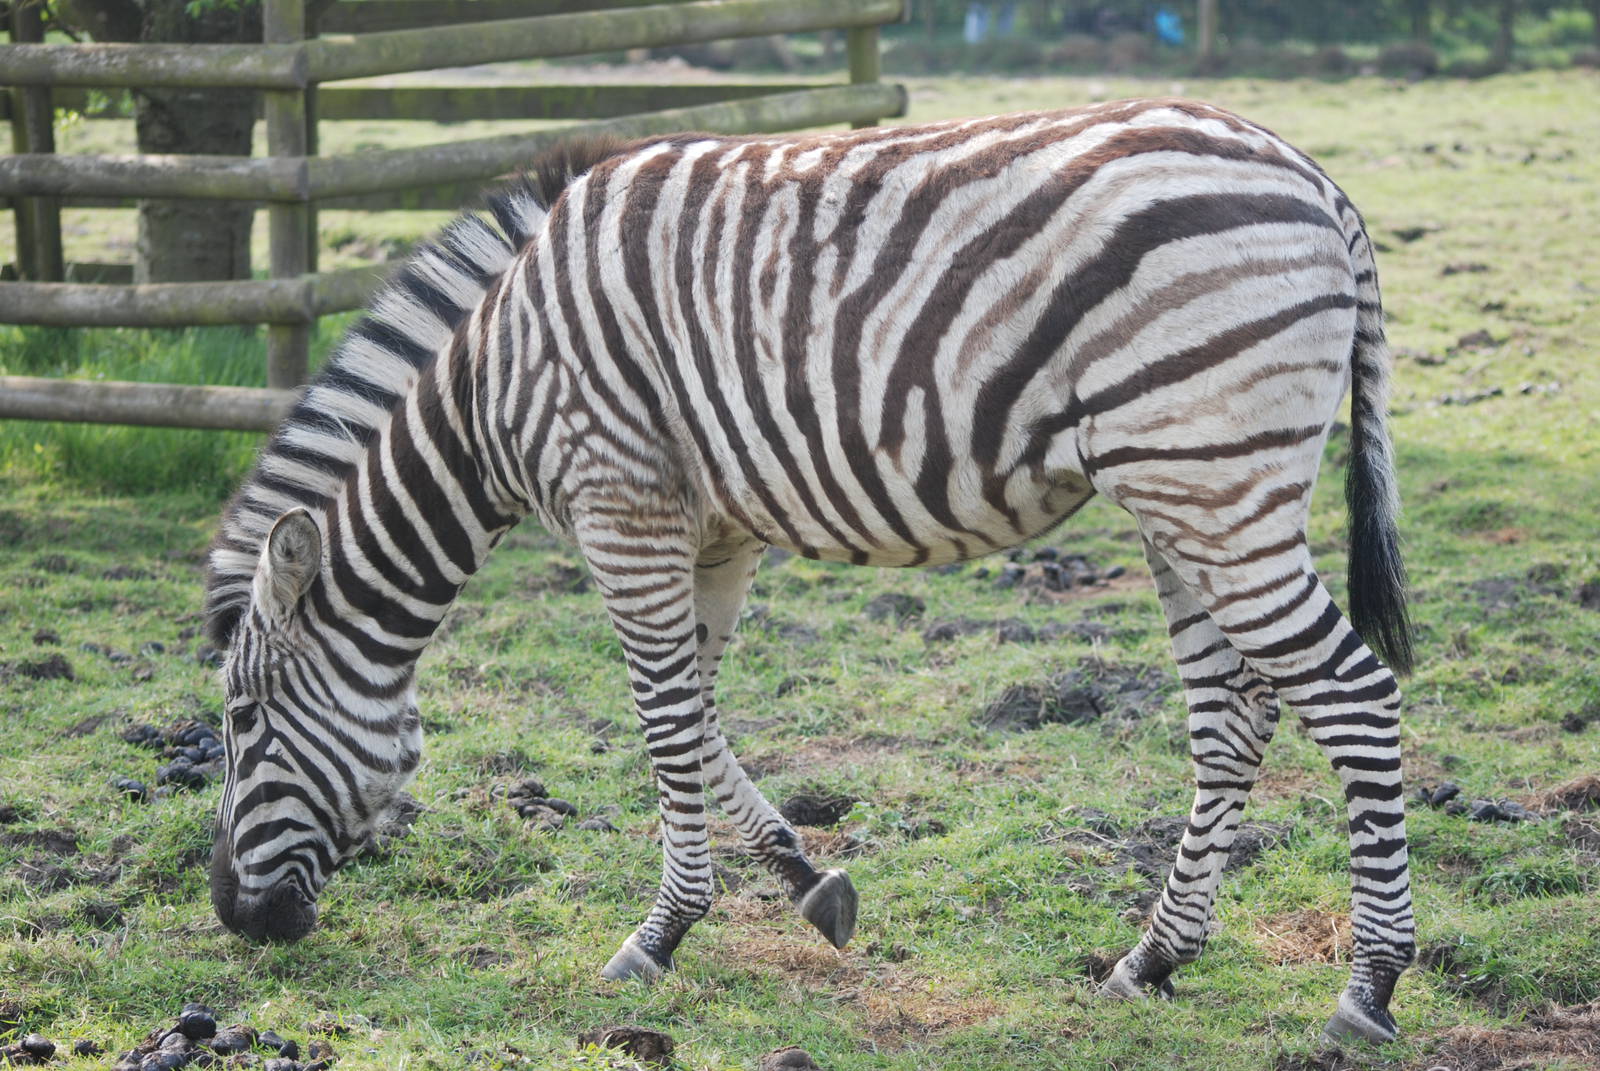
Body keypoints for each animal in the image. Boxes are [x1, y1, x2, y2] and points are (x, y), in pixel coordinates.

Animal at [205, 98, 1416, 1044]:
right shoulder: (714, 531)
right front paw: (807, 882)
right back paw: (1153, 960)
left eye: (241, 721)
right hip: (1186, 496)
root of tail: (1315, 179)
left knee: (1353, 696)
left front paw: (658, 935)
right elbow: (695, 714)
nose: (231, 917)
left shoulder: (620, 504)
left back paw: (1368, 990)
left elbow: (660, 720)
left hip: (1210, 480)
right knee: (1235, 717)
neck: (493, 382)